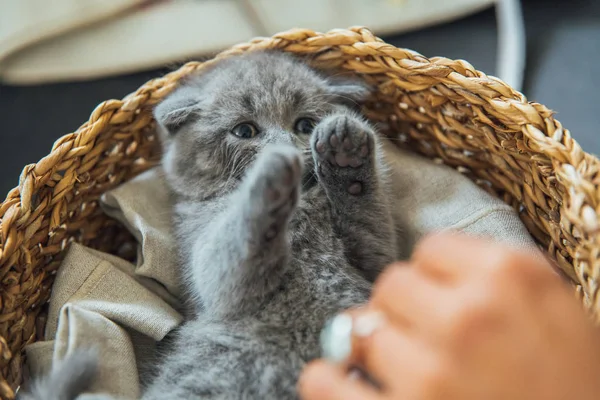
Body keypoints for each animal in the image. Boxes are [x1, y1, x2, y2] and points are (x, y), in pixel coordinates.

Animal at [24, 50, 398, 400]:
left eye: (305, 125)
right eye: (244, 130)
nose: (285, 148)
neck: (303, 207)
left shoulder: (372, 260)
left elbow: (371, 226)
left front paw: (346, 154)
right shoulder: (211, 270)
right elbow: (236, 247)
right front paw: (271, 180)